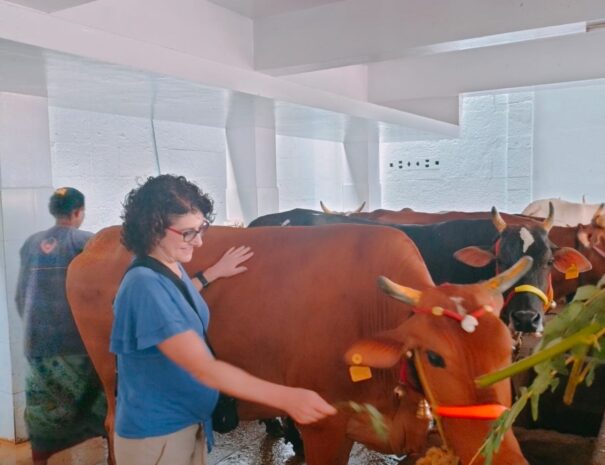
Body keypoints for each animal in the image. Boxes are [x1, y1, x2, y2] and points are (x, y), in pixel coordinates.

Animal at [67, 224, 528, 464]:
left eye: (509, 350)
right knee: (115, 427)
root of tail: (101, 239)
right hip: (114, 380)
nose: (503, 456)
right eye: (434, 357)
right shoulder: (324, 426)